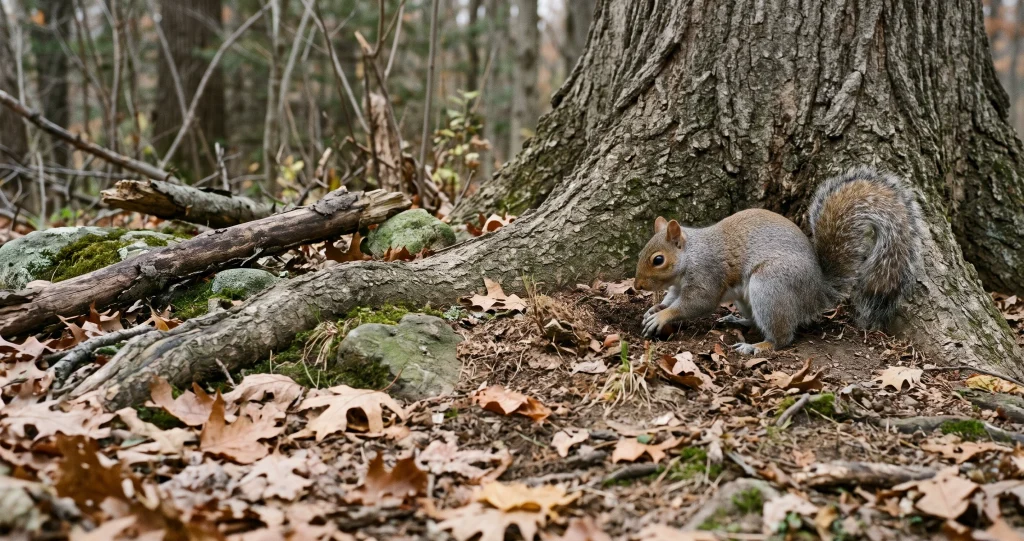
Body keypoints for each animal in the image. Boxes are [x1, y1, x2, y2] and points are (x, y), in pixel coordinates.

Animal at [633, 167, 923, 355]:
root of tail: (817, 292)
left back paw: (756, 346)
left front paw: (663, 316)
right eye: (641, 253)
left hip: (770, 285)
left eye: (658, 260)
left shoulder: (707, 273)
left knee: (782, 337)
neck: (690, 256)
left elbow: (696, 303)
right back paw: (739, 322)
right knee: (757, 321)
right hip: (751, 297)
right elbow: (671, 298)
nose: (637, 286)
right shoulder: (677, 285)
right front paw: (655, 308)